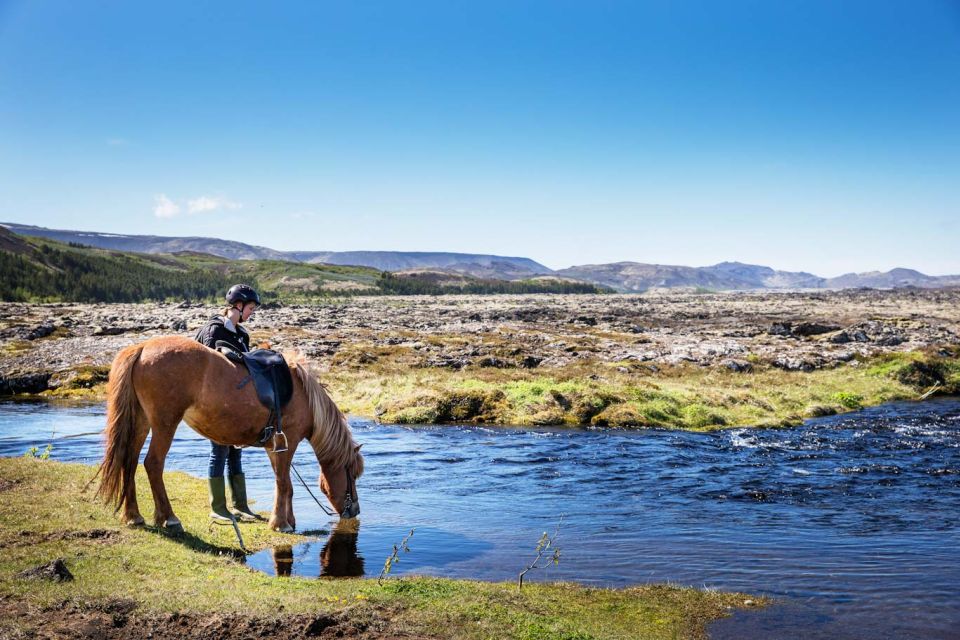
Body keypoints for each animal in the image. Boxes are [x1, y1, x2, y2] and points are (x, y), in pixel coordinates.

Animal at [96, 338, 364, 532]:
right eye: (351, 473)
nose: (355, 510)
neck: (304, 397)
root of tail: (142, 348)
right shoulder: (287, 443)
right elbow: (284, 483)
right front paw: (281, 524)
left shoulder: (273, 447)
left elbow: (284, 483)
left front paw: (288, 519)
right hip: (164, 423)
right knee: (152, 464)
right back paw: (169, 518)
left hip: (141, 422)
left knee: (129, 461)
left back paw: (133, 516)